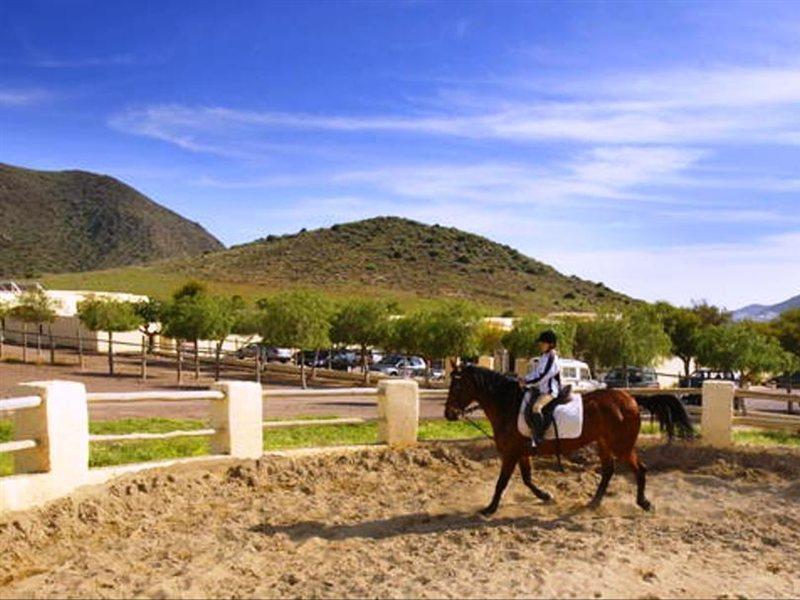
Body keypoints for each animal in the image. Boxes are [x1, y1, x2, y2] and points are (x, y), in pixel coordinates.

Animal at [444, 364, 656, 516]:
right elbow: (527, 479)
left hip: (622, 446)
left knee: (640, 469)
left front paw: (490, 509)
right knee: (608, 471)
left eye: (458, 385)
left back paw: (644, 503)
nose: (449, 414)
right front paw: (546, 495)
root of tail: (630, 398)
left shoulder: (510, 454)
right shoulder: (521, 452)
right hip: (604, 443)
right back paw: (593, 503)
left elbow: (502, 482)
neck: (508, 405)